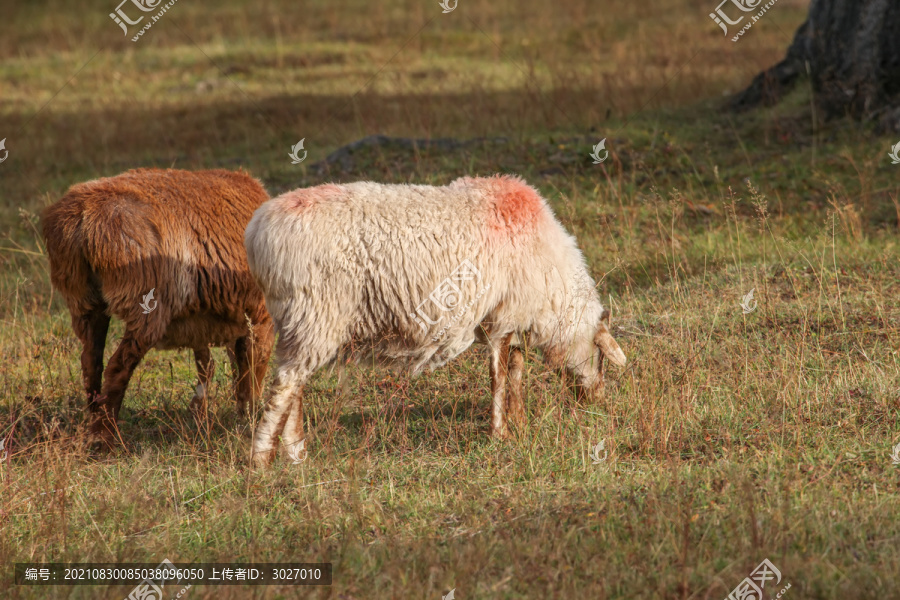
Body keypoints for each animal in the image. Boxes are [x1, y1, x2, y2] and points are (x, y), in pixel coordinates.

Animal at [43, 169, 274, 446]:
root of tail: (83, 217)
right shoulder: (258, 317)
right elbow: (251, 371)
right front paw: (248, 418)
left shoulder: (204, 321)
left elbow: (207, 365)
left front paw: (205, 413)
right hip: (145, 307)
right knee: (117, 367)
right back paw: (106, 438)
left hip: (84, 301)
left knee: (91, 362)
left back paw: (94, 420)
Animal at [244, 173, 624, 464]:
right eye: (600, 355)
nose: (597, 401)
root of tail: (257, 232)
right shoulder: (503, 317)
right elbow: (499, 375)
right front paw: (500, 432)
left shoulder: (511, 314)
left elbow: (515, 368)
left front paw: (516, 420)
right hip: (316, 312)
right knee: (286, 385)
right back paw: (261, 458)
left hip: (298, 321)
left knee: (295, 385)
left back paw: (295, 453)